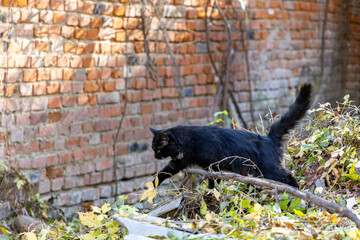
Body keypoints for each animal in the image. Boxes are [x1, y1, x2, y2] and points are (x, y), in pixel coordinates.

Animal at [149, 83, 312, 188]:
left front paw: (210, 194)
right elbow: (163, 173)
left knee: (289, 176)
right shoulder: (179, 162)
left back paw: (297, 193)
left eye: (158, 149)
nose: (155, 157)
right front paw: (150, 187)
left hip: (269, 169)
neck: (188, 142)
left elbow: (213, 181)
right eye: (153, 150)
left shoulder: (213, 165)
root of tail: (269, 137)